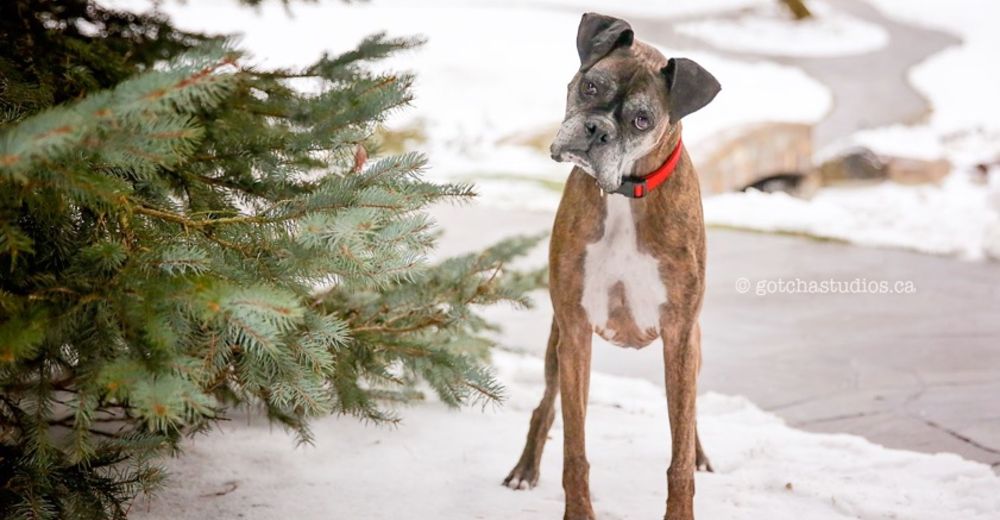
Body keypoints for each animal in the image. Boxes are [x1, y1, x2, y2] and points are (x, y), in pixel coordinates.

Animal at [504, 12, 724, 520]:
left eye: (642, 119)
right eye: (590, 86)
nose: (597, 130)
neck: (626, 192)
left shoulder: (681, 337)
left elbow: (679, 452)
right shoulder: (575, 333)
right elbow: (575, 449)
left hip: (692, 347)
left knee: (688, 422)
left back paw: (700, 452)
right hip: (556, 345)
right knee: (545, 406)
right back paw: (525, 469)